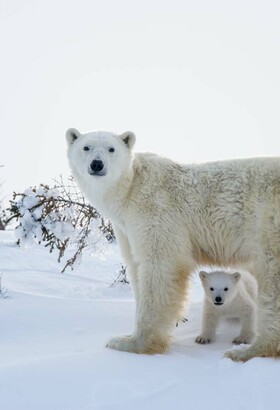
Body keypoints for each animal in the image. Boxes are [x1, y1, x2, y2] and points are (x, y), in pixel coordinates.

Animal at [65, 128, 280, 362]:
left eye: (111, 149)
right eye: (86, 147)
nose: (97, 164)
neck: (131, 188)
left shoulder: (156, 210)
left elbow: (160, 266)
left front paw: (130, 343)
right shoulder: (125, 228)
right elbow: (135, 267)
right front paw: (129, 335)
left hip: (268, 221)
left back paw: (249, 350)